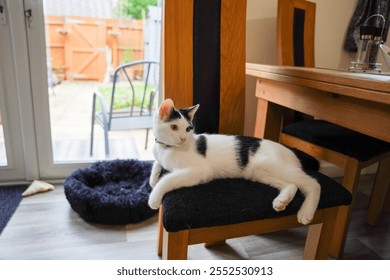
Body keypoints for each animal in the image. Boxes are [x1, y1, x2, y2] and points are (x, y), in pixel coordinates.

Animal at [148, 99, 322, 224]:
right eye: (174, 127)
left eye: (188, 129)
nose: (183, 139)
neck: (167, 148)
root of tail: (290, 150)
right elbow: (156, 163)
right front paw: (153, 178)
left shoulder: (199, 171)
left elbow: (168, 179)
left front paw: (154, 197)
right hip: (259, 173)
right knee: (292, 185)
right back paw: (281, 201)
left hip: (277, 166)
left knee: (313, 183)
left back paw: (306, 212)